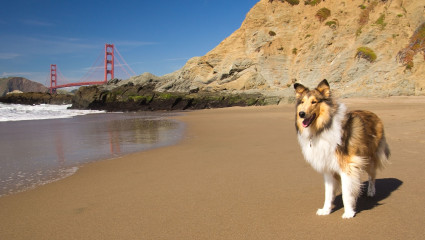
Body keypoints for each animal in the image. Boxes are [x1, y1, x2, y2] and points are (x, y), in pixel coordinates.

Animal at [294, 79, 390, 218]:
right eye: (302, 102)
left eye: (314, 102)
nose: (301, 114)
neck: (322, 128)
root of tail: (374, 114)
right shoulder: (328, 168)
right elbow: (328, 193)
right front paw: (326, 210)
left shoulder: (346, 166)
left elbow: (346, 192)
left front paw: (349, 212)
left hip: (369, 158)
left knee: (372, 175)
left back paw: (371, 191)